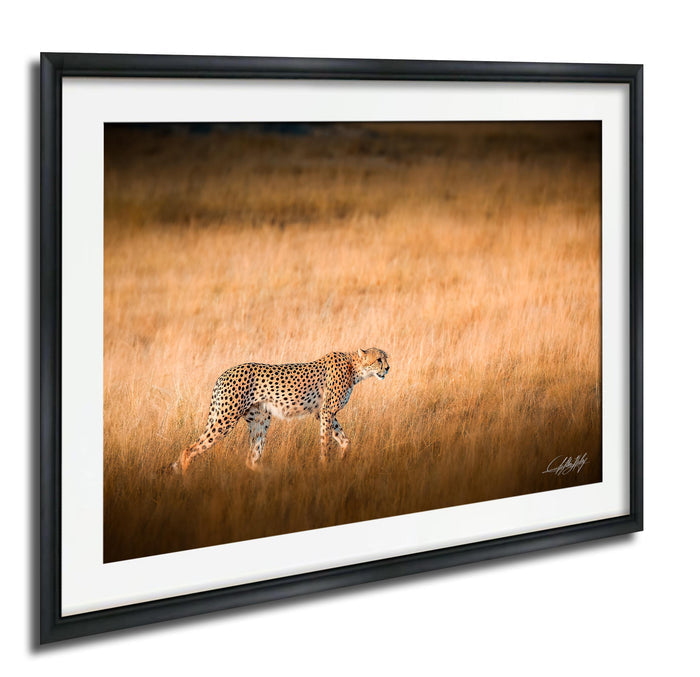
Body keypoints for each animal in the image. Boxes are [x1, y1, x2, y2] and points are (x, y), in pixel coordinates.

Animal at [168, 348, 389, 474]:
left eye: (386, 358)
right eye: (379, 359)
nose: (388, 368)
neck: (355, 367)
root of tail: (224, 373)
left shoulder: (322, 412)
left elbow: (345, 440)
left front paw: (343, 460)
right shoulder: (327, 411)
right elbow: (326, 441)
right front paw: (326, 465)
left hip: (260, 420)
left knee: (252, 458)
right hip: (226, 419)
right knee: (189, 450)